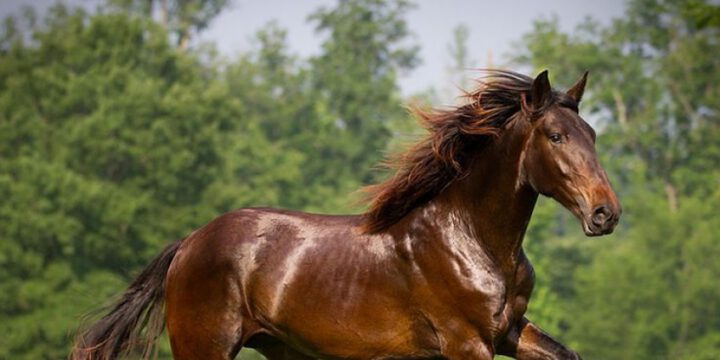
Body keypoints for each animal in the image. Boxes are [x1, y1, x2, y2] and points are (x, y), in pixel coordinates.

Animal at [71, 70, 620, 360]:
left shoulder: (509, 332)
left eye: (592, 134)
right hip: (204, 348)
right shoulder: (466, 343)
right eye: (556, 136)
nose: (606, 214)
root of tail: (188, 244)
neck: (474, 241)